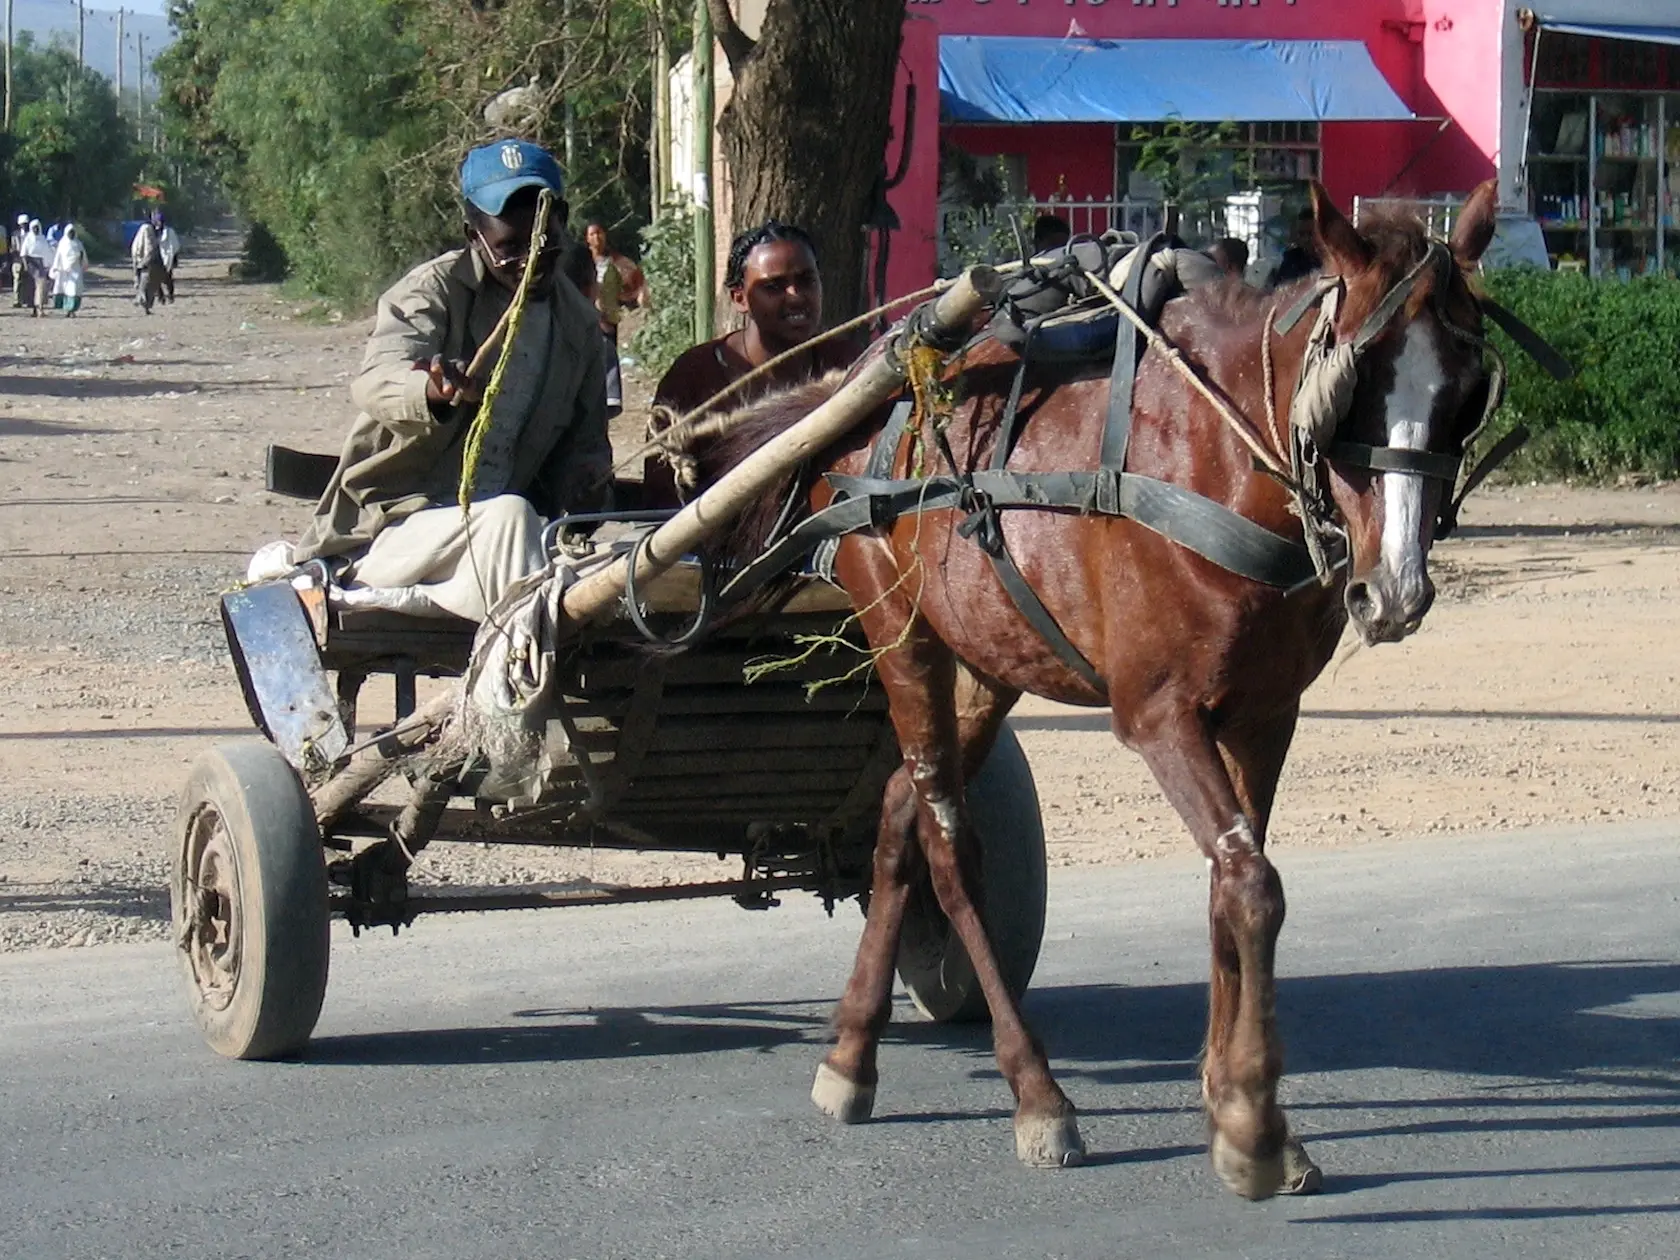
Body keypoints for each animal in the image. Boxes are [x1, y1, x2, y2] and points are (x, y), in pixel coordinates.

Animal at [688, 182, 1505, 1196]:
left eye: (1464, 392)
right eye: (1357, 383)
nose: (1394, 588)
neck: (1217, 456)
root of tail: (876, 397)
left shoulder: (1265, 717)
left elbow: (1229, 882)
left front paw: (1229, 1099)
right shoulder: (1158, 716)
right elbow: (1252, 886)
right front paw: (1252, 1123)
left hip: (985, 659)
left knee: (901, 816)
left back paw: (850, 1055)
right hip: (903, 633)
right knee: (949, 845)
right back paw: (1037, 1093)